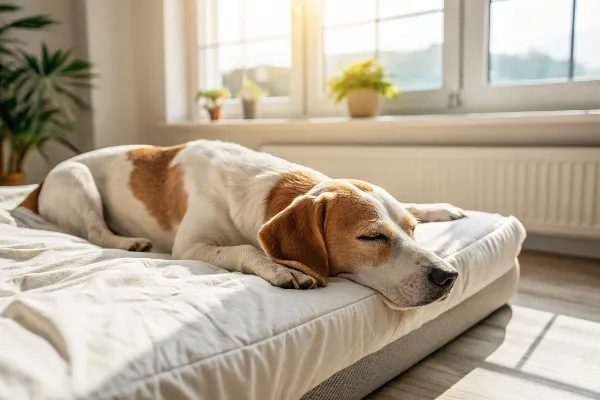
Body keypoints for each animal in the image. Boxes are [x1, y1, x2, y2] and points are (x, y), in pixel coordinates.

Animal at [15, 140, 464, 310]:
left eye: (412, 230)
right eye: (371, 236)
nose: (448, 275)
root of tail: (35, 188)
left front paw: (440, 209)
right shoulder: (191, 248)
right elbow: (247, 248)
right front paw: (282, 269)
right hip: (78, 180)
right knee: (94, 231)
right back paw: (128, 243)